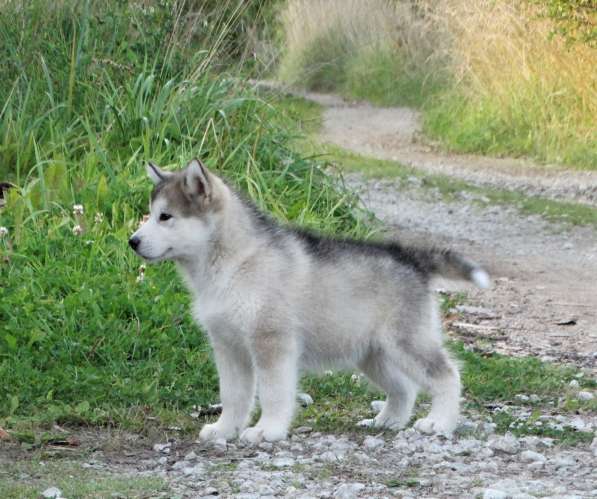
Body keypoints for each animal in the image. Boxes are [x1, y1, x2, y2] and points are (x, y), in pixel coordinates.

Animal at [128, 160, 486, 446]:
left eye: (165, 217)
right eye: (152, 214)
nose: (132, 241)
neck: (235, 263)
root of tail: (410, 258)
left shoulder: (271, 342)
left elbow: (272, 393)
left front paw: (267, 430)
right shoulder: (228, 346)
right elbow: (233, 395)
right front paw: (224, 429)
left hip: (406, 343)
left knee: (447, 375)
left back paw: (439, 422)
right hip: (372, 353)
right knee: (405, 388)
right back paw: (388, 421)